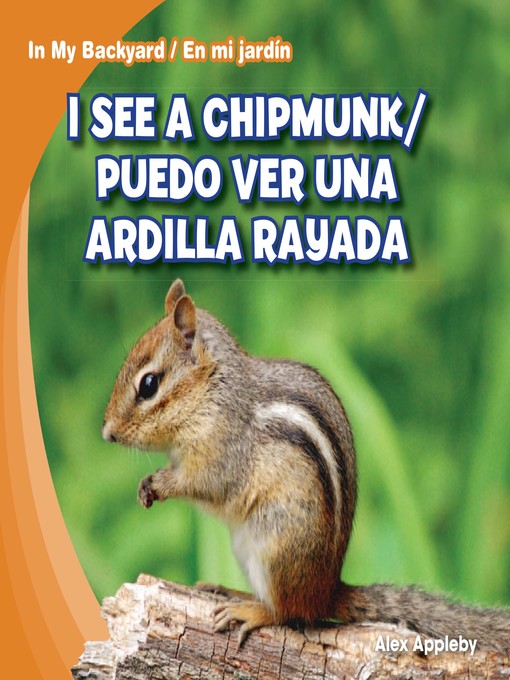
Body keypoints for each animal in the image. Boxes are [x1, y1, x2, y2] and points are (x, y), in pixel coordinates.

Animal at [102, 279, 510, 651]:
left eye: (149, 385)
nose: (107, 433)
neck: (212, 390)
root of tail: (327, 592)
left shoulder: (222, 451)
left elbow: (206, 483)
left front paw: (159, 483)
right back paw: (231, 592)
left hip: (275, 542)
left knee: (288, 612)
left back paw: (250, 610)